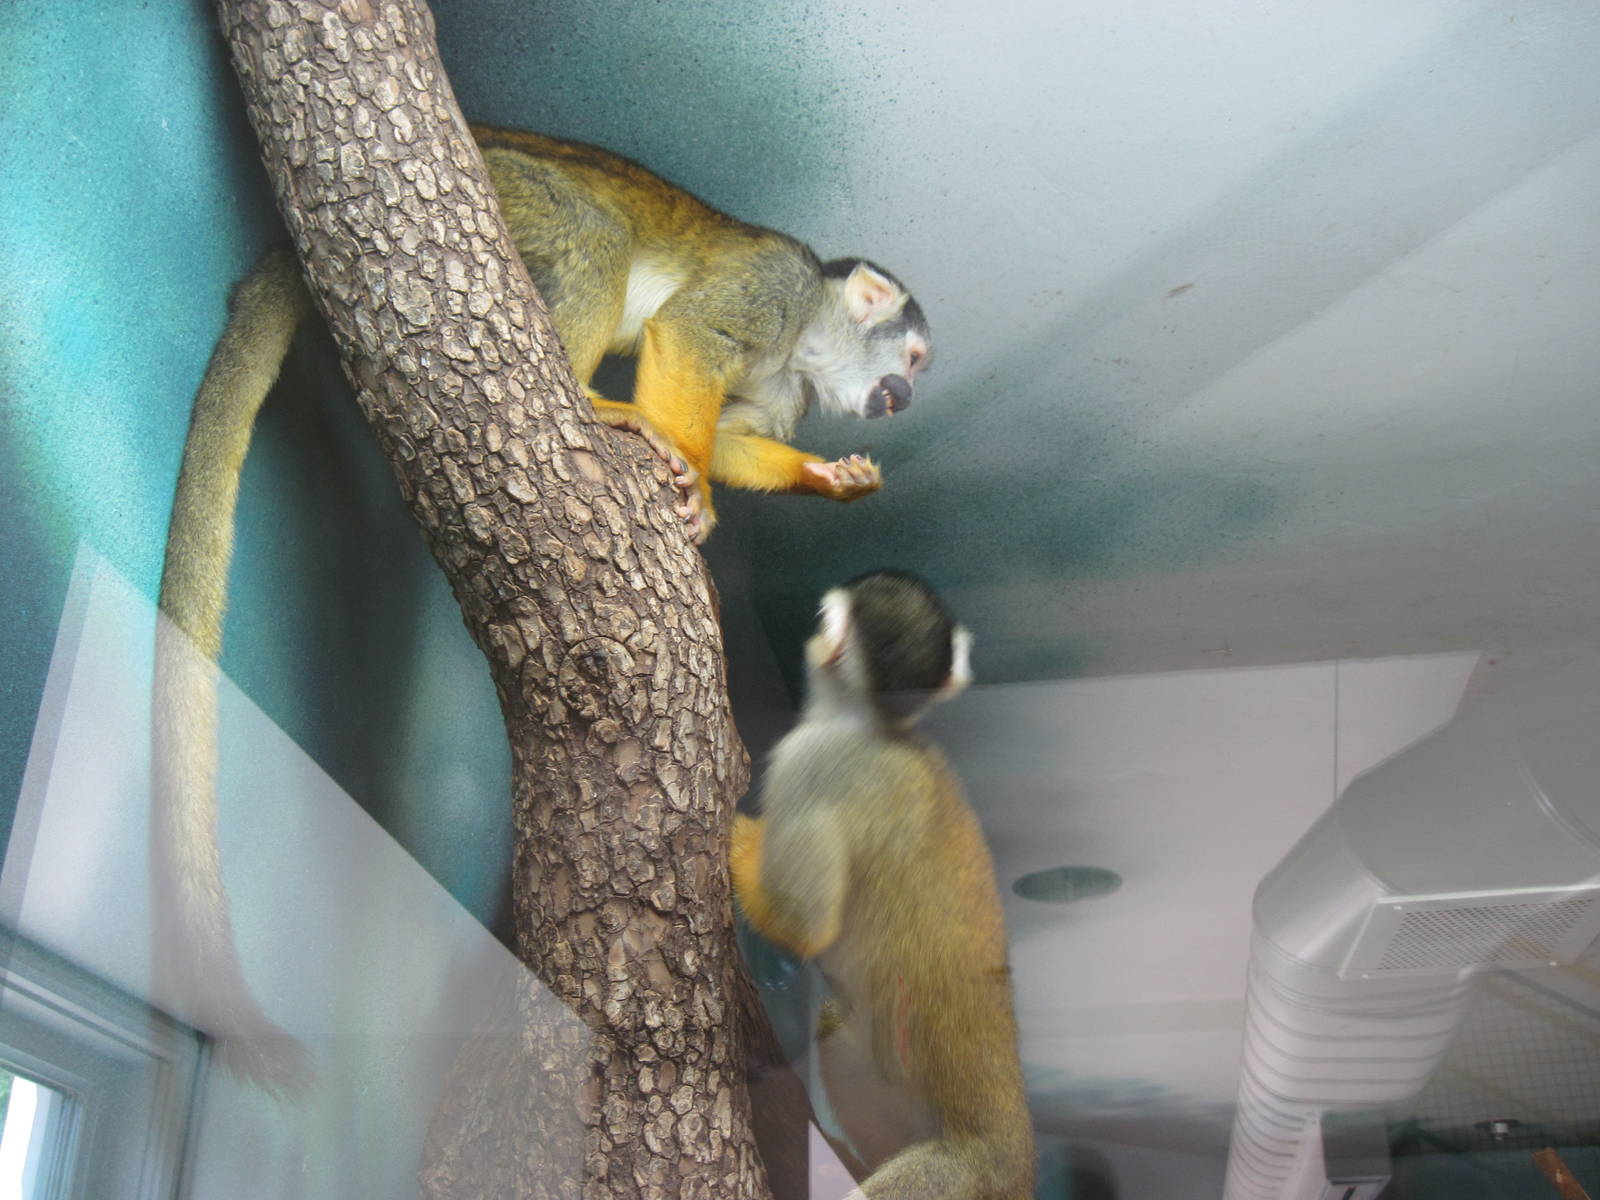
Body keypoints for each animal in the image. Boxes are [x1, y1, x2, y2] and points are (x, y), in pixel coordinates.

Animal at [153, 128, 931, 1095]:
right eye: (911, 363)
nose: (908, 397)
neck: (809, 338)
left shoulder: (788, 384)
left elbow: (742, 433)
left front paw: (830, 479)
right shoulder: (774, 287)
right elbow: (688, 336)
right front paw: (685, 468)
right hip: (509, 193)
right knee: (593, 235)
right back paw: (597, 397)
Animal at [729, 572, 1036, 1200]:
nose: (815, 636)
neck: (879, 728)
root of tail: (1012, 1164)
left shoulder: (810, 760)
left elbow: (804, 922)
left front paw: (744, 846)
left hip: (952, 1178)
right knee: (835, 1021)